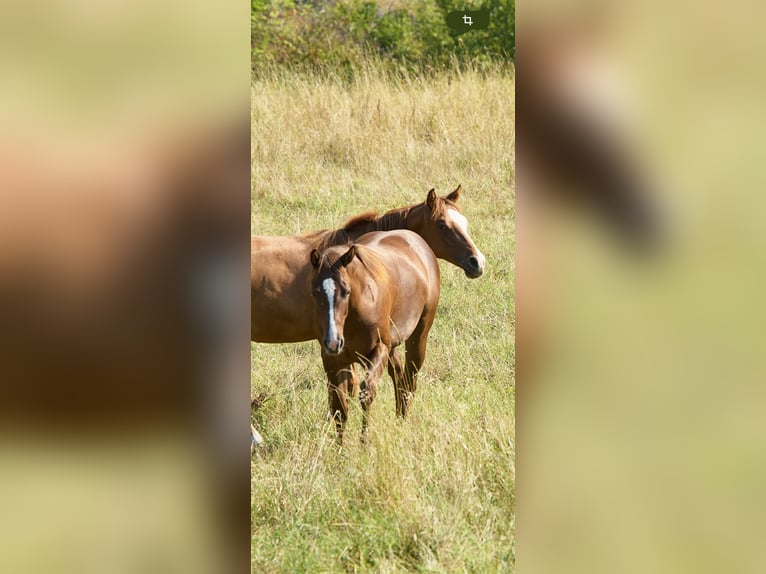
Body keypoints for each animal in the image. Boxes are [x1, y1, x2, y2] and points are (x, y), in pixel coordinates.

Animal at [309, 230, 440, 442]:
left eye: (346, 291)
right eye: (315, 293)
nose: (333, 342)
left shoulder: (378, 350)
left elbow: (366, 393)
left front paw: (364, 442)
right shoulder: (332, 359)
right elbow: (339, 406)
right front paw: (339, 447)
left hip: (418, 338)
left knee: (409, 381)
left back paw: (403, 422)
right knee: (399, 377)